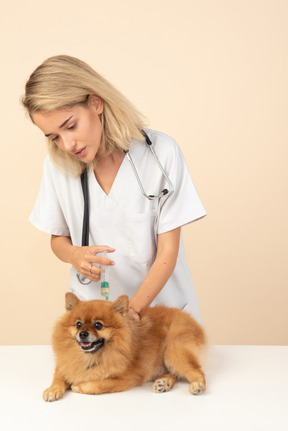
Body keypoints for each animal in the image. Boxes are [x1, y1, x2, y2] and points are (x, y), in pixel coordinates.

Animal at [43, 292, 207, 404]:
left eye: (98, 325)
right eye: (78, 324)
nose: (83, 333)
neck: (91, 357)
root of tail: (191, 320)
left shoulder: (127, 378)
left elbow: (100, 384)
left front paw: (79, 386)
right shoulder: (65, 364)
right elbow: (58, 377)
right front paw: (52, 390)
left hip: (173, 351)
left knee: (197, 371)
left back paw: (197, 385)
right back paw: (163, 383)